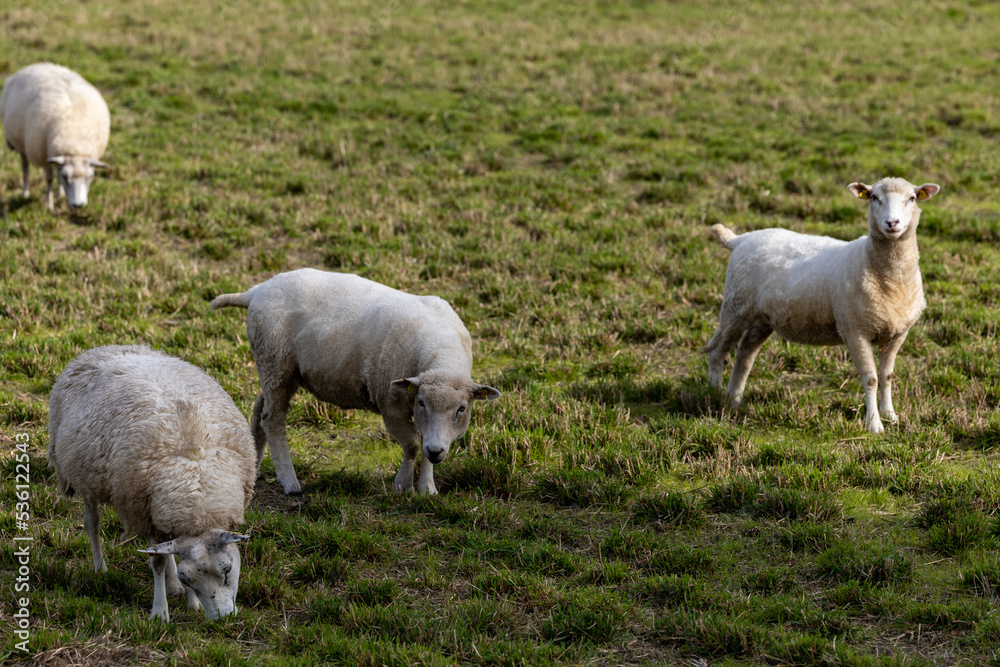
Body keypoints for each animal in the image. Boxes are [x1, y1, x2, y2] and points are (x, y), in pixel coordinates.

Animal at [0, 62, 110, 211]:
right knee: (25, 166)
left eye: (90, 177)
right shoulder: (43, 155)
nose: (78, 205)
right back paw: (25, 193)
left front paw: (59, 195)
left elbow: (57, 175)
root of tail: (37, 65)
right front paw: (49, 203)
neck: (75, 144)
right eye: (66, 177)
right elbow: (49, 179)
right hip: (21, 143)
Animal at [47, 345, 255, 621]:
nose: (222, 619)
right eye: (188, 578)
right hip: (85, 476)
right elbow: (156, 562)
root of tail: (105, 348)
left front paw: (190, 602)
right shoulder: (142, 511)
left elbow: (166, 552)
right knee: (92, 523)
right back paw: (101, 568)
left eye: (227, 569)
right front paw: (160, 612)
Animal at [210, 268, 501, 496]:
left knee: (259, 411)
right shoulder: (391, 405)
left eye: (461, 409)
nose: (438, 450)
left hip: (276, 369)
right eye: (421, 402)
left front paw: (427, 488)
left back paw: (254, 470)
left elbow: (424, 446)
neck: (441, 355)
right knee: (272, 419)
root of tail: (257, 291)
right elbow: (412, 445)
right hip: (276, 361)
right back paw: (290, 482)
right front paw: (402, 485)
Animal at [705, 177, 940, 434]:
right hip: (735, 306)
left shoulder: (898, 333)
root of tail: (740, 239)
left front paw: (891, 416)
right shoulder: (855, 330)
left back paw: (735, 400)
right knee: (717, 351)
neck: (888, 278)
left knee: (745, 355)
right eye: (874, 197)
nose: (892, 223)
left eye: (912, 198)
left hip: (761, 318)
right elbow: (871, 379)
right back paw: (715, 396)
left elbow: (887, 376)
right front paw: (874, 424)